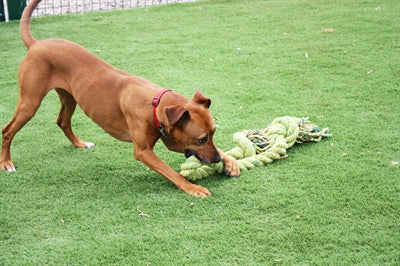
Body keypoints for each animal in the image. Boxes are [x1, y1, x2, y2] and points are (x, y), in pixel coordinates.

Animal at [0, 0, 239, 195]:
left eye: (213, 133)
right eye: (201, 139)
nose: (216, 160)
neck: (155, 103)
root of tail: (36, 44)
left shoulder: (173, 140)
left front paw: (230, 161)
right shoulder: (143, 151)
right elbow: (171, 172)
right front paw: (193, 188)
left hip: (70, 98)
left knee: (62, 121)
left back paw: (80, 143)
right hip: (30, 103)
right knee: (8, 130)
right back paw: (6, 163)